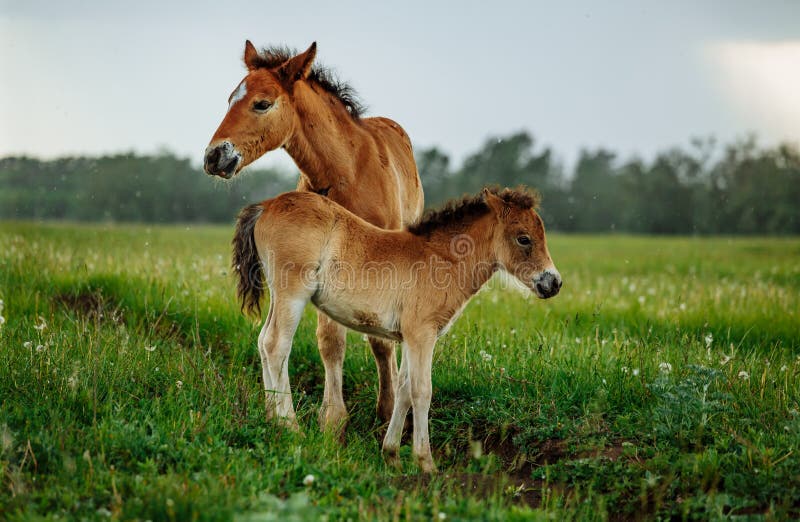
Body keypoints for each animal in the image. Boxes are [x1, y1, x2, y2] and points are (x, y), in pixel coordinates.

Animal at [204, 41, 424, 430]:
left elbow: (380, 341)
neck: (345, 171)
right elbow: (330, 340)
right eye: (230, 99)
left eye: (262, 103)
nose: (214, 156)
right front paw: (333, 419)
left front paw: (386, 409)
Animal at [232, 186, 562, 472]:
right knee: (276, 346)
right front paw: (426, 463)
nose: (553, 283)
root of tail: (267, 205)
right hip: (293, 294)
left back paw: (271, 420)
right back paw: (290, 427)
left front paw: (391, 454)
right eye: (524, 239)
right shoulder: (422, 335)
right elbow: (421, 391)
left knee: (262, 343)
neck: (442, 259)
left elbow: (402, 388)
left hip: (279, 296)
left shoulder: (409, 338)